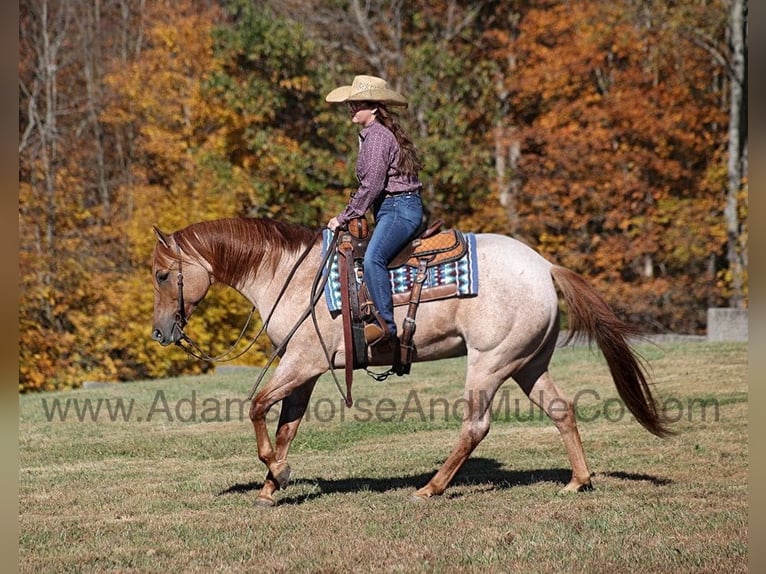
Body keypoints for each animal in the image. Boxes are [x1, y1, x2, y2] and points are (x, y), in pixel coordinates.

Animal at [150, 216, 669, 506]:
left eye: (160, 274)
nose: (160, 332)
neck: (288, 275)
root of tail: (545, 266)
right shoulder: (305, 372)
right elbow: (285, 428)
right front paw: (269, 486)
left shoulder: (303, 363)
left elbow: (257, 406)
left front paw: (277, 474)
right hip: (527, 363)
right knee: (561, 410)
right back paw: (578, 482)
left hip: (489, 362)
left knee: (475, 427)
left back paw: (431, 488)